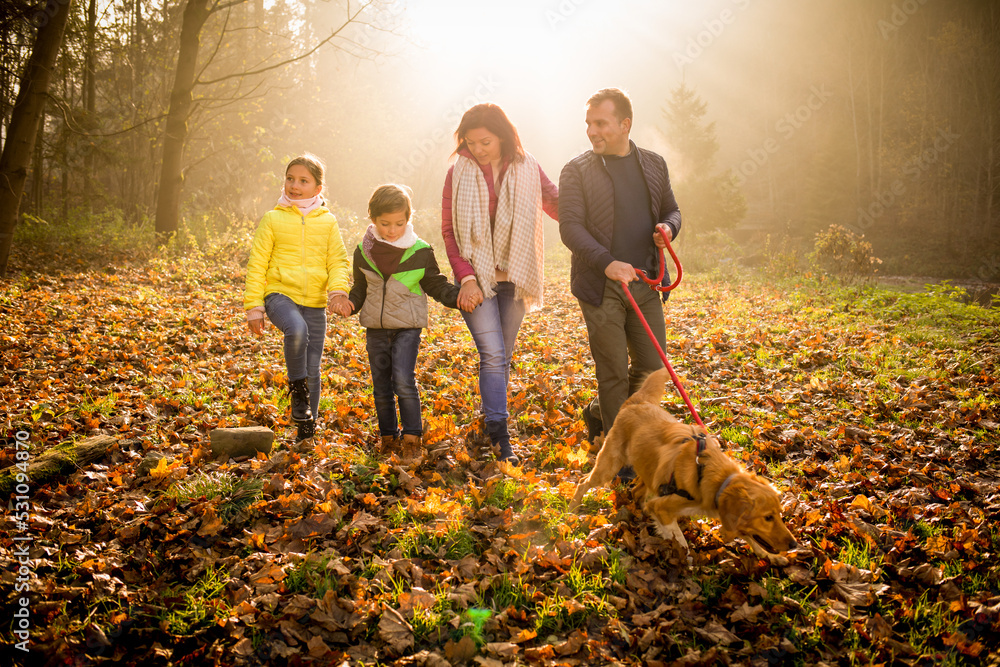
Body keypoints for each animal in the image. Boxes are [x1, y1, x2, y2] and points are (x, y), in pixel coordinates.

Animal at [572, 370, 796, 564]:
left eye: (779, 514)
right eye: (767, 518)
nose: (794, 544)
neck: (710, 475)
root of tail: (637, 401)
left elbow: (750, 537)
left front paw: (770, 556)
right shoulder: (662, 507)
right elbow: (681, 542)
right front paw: (686, 561)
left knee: (636, 491)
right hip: (609, 466)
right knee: (583, 482)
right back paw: (572, 508)